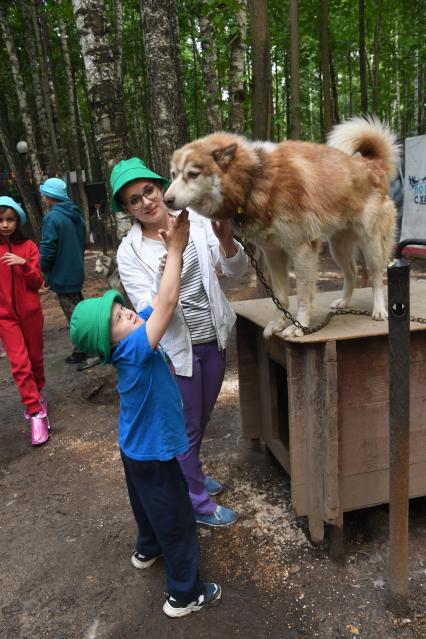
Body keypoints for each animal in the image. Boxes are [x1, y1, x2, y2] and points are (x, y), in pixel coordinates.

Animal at [164, 118, 400, 338]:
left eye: (193, 174)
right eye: (174, 174)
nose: (166, 200)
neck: (253, 180)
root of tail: (371, 164)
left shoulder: (302, 250)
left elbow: (303, 296)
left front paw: (299, 326)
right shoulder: (273, 253)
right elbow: (280, 297)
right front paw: (277, 324)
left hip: (370, 245)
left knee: (376, 275)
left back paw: (379, 310)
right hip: (337, 248)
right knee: (352, 272)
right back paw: (343, 302)